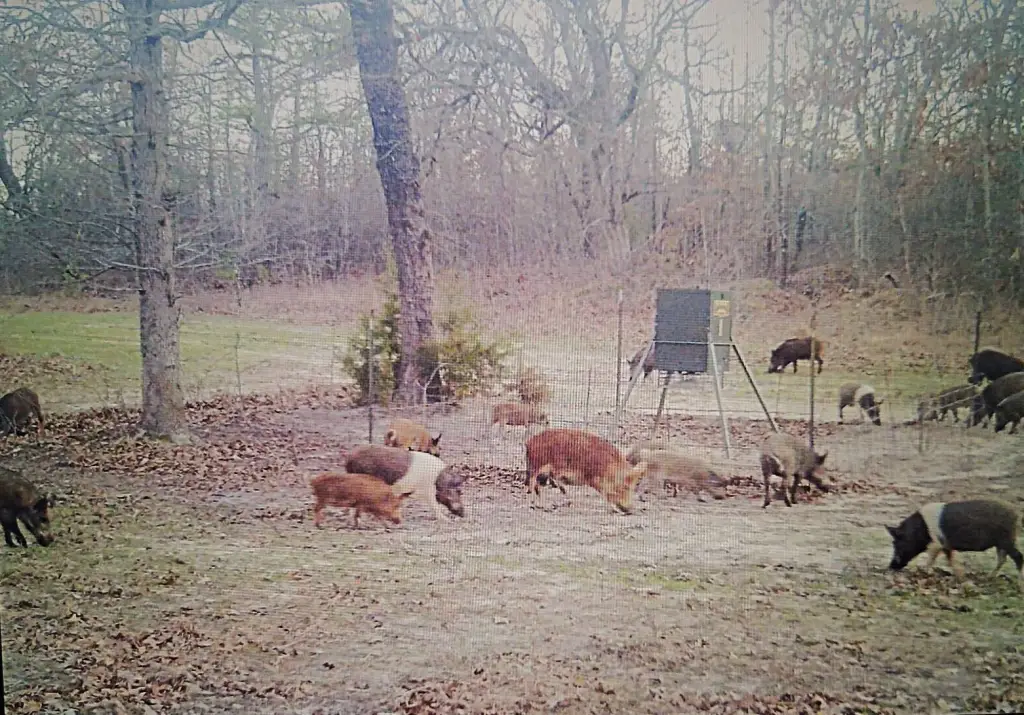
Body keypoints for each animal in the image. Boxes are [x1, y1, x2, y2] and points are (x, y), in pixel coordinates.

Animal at [886, 499, 1023, 591]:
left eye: (896, 543)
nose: (891, 566)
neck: (921, 530)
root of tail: (1015, 514)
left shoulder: (936, 544)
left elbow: (931, 560)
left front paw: (924, 572)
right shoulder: (946, 546)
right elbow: (951, 561)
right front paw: (960, 578)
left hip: (1006, 540)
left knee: (1018, 556)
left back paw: (1018, 584)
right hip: (1001, 544)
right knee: (1002, 559)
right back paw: (988, 578)